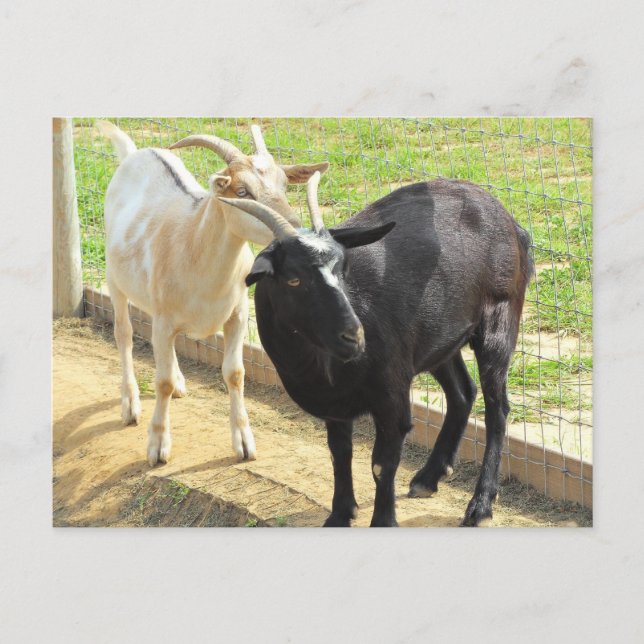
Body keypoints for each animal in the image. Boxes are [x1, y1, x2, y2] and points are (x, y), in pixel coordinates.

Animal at [95, 120, 329, 466]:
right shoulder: (165, 320)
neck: (192, 244)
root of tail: (136, 152)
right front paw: (157, 446)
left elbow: (235, 373)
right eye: (242, 192)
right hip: (115, 279)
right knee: (123, 334)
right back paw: (130, 405)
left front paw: (244, 443)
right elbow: (161, 382)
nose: (297, 233)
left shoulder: (237, 315)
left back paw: (179, 381)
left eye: (285, 184)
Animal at [221, 172, 532, 527]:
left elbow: (381, 464)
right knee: (463, 392)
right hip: (439, 338)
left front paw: (383, 520)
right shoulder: (335, 404)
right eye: (293, 280)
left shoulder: (391, 395)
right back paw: (429, 477)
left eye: (343, 268)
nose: (354, 336)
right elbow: (339, 453)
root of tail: (509, 220)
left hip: (500, 319)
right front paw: (339, 514)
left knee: (497, 408)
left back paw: (480, 504)